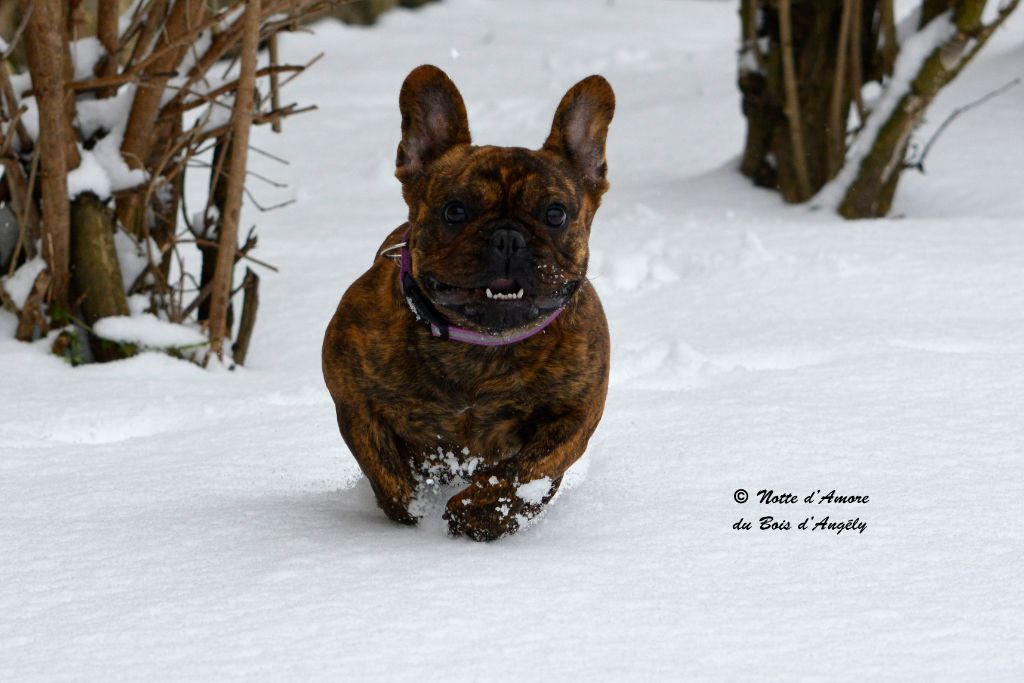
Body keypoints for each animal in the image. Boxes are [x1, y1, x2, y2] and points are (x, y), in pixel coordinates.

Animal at [323, 66, 610, 540]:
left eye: (555, 213)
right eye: (455, 211)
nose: (507, 237)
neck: (480, 346)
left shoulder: (574, 414)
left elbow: (528, 469)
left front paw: (481, 511)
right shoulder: (354, 398)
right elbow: (383, 464)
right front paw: (412, 506)